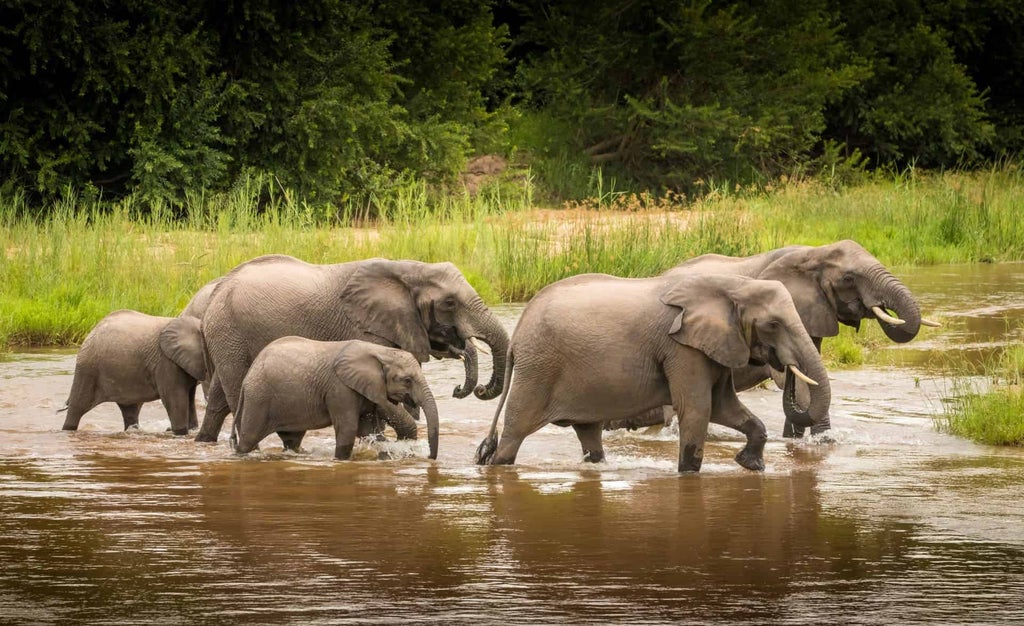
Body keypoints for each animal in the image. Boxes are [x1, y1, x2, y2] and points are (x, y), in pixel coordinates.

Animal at [59, 309, 207, 436]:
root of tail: (93, 329)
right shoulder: (166, 363)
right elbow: (175, 398)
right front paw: (180, 432)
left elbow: (189, 398)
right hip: (88, 369)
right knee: (77, 408)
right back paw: (68, 429)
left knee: (131, 410)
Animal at [194, 252, 507, 448]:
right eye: (450, 303)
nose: (464, 389)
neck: (409, 268)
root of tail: (215, 292)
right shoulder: (364, 329)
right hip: (231, 333)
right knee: (236, 391)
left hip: (226, 337)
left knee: (220, 397)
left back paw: (205, 441)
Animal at [232, 338, 440, 461]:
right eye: (407, 380)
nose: (430, 459)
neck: (380, 351)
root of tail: (247, 377)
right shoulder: (340, 389)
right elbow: (348, 428)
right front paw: (340, 461)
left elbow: (367, 430)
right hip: (258, 398)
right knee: (249, 438)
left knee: (292, 439)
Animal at [475, 272, 835, 473]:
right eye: (773, 324)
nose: (785, 366)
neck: (732, 286)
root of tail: (517, 334)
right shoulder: (681, 348)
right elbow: (697, 409)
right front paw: (688, 475)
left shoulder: (712, 346)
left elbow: (724, 407)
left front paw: (752, 466)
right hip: (538, 370)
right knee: (513, 434)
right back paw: (495, 465)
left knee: (589, 434)